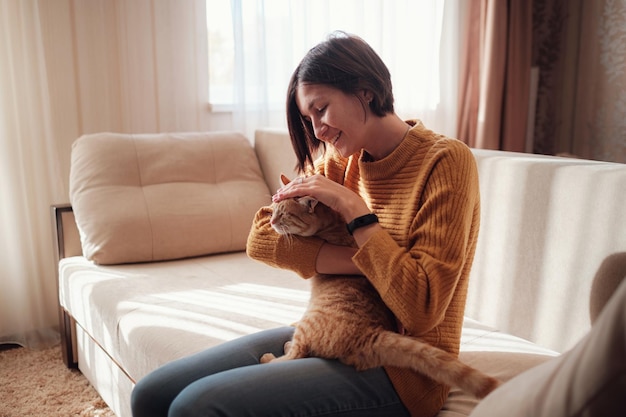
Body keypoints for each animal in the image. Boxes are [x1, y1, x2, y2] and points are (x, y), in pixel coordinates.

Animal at [260, 174, 500, 398]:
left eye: (284, 214)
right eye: (272, 211)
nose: (271, 222)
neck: (334, 222)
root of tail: (369, 333)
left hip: (307, 327)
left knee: (296, 353)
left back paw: (271, 356)